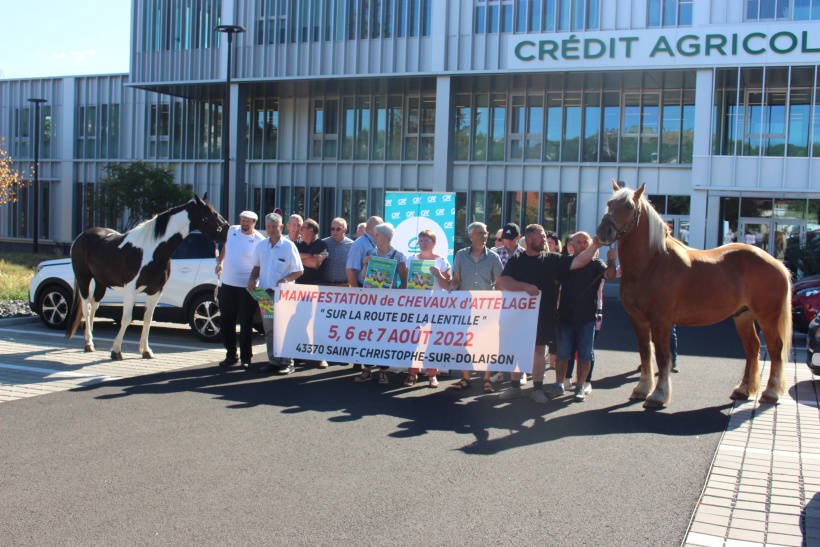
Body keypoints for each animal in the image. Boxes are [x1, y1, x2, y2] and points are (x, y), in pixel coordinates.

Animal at [65, 196, 227, 360]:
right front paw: (116, 351)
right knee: (86, 307)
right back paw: (88, 344)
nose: (227, 230)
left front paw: (146, 350)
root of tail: (81, 237)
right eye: (213, 214)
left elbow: (148, 318)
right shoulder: (130, 289)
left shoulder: (156, 291)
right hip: (84, 278)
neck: (153, 249)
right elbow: (126, 318)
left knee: (94, 306)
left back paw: (91, 340)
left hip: (101, 282)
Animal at [596, 182, 796, 408]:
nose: (603, 232)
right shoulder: (637, 319)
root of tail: (776, 262)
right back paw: (743, 389)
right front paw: (642, 389)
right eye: (609, 203)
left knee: (774, 348)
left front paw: (658, 395)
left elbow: (663, 355)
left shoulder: (661, 320)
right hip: (743, 315)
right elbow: (645, 352)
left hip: (767, 317)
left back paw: (771, 392)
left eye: (630, 206)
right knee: (752, 347)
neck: (652, 262)